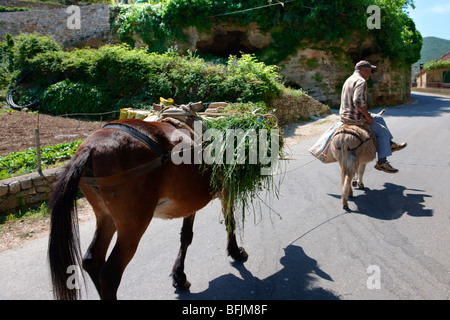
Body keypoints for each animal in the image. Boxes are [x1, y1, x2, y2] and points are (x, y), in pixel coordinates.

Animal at [48, 114, 250, 298]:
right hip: (134, 224)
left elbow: (186, 236)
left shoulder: (189, 202)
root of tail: (91, 148)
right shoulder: (225, 188)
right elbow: (229, 221)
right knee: (109, 274)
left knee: (92, 260)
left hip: (106, 217)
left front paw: (179, 276)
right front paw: (235, 251)